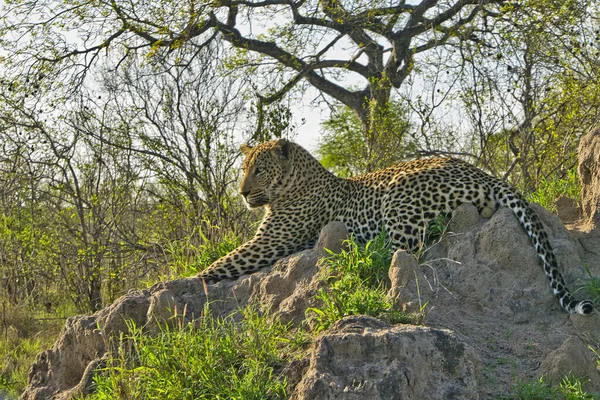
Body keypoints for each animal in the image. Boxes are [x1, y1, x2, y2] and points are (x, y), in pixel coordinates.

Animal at [199, 139, 592, 314]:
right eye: (244, 169)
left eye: (259, 170)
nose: (242, 192)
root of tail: (482, 173)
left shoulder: (269, 242)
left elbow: (217, 266)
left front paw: (185, 282)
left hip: (399, 197)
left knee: (398, 254)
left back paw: (356, 260)